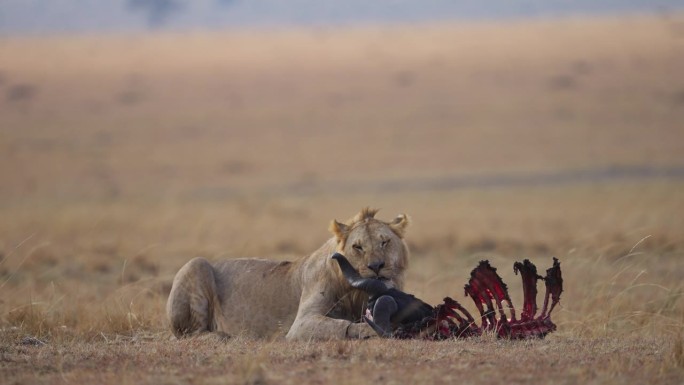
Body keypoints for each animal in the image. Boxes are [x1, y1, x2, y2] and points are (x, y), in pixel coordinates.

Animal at [166, 207, 408, 340]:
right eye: (358, 247)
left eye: (384, 242)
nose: (376, 265)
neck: (358, 291)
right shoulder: (300, 325)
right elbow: (343, 325)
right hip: (195, 264)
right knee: (191, 333)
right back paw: (221, 336)